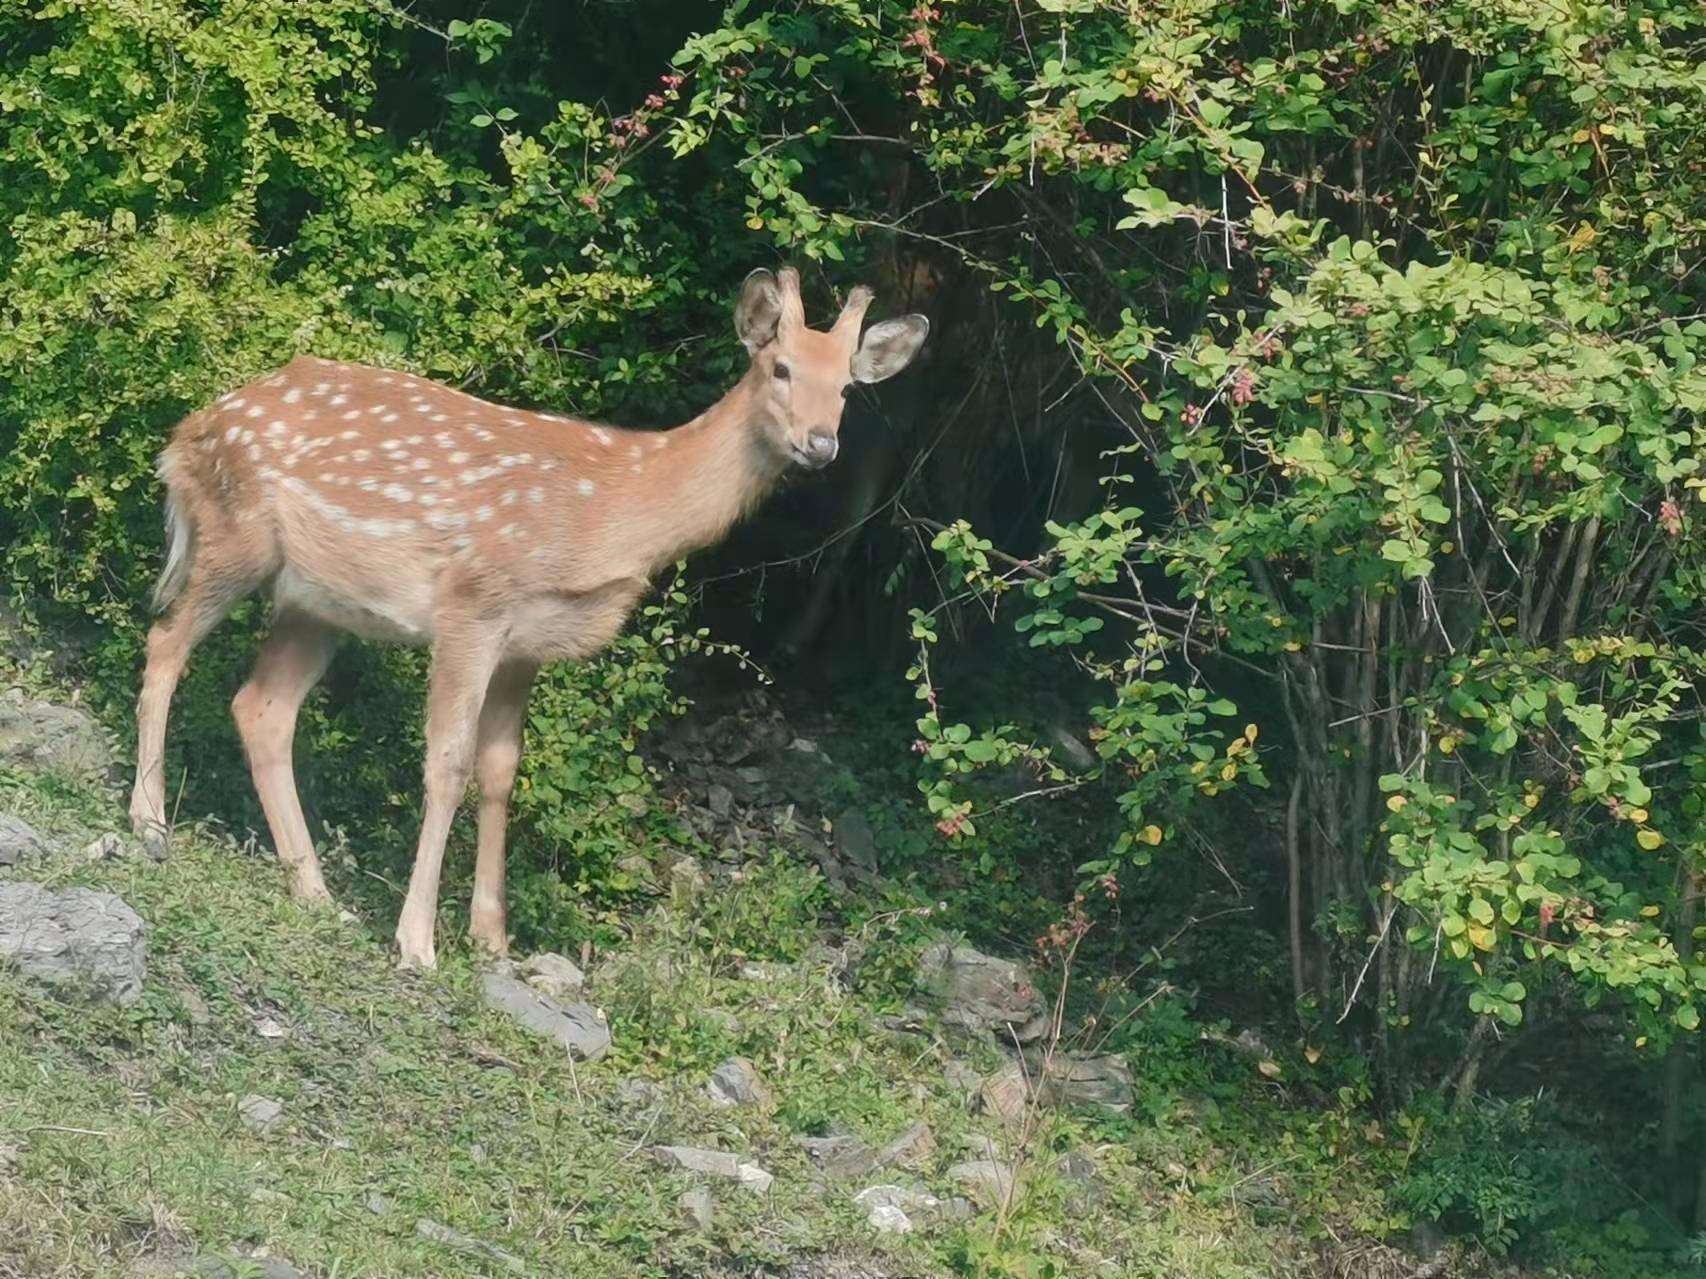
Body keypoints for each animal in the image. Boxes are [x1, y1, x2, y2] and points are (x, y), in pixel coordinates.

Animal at [133, 272, 934, 968]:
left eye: (847, 388)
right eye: (780, 368)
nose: (820, 444)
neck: (614, 512)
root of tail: (182, 436)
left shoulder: (528, 644)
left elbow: (500, 770)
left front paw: (492, 937)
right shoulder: (473, 603)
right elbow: (448, 763)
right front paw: (417, 943)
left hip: (316, 600)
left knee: (262, 706)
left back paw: (315, 890)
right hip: (233, 533)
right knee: (165, 641)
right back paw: (149, 819)